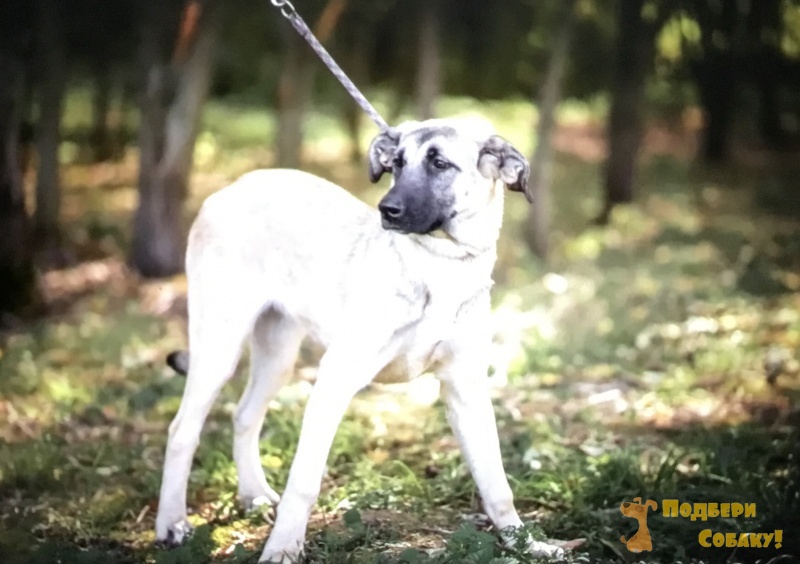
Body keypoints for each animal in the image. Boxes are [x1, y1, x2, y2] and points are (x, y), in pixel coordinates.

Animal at [154, 118, 565, 562]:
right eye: (397, 163)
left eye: (439, 163)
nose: (387, 210)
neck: (439, 267)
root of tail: (230, 188)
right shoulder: (335, 379)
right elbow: (304, 482)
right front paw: (282, 549)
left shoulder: (466, 390)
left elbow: (496, 481)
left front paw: (525, 542)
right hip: (219, 347)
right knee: (182, 430)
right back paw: (171, 523)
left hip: (277, 355)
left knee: (244, 415)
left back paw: (254, 494)